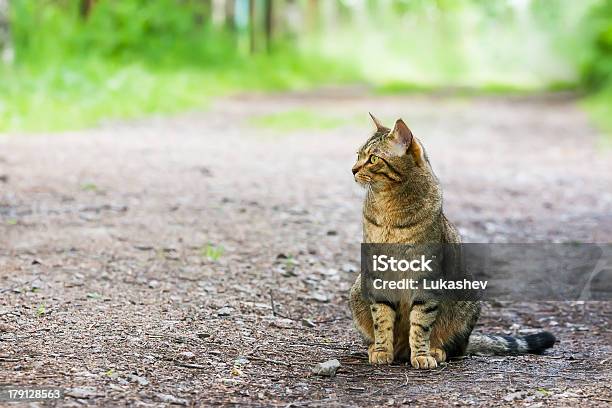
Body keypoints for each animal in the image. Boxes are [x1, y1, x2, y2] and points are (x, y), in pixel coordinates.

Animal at [350, 113, 556, 368]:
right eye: (357, 155)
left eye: (373, 159)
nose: (353, 169)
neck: (388, 205)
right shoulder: (378, 273)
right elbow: (382, 319)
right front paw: (381, 350)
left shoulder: (426, 277)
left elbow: (420, 324)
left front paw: (421, 354)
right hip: (358, 287)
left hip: (468, 296)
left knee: (457, 347)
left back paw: (435, 350)